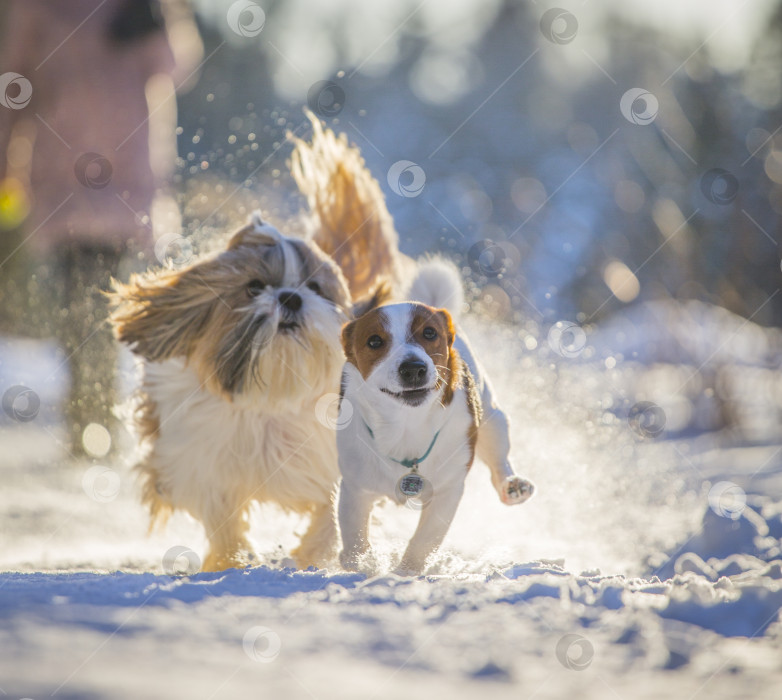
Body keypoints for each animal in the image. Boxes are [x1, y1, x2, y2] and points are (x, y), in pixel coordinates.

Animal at [110, 115, 402, 572]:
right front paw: (229, 561)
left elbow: (332, 513)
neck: (271, 400)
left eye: (315, 287)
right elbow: (222, 517)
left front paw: (310, 556)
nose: (290, 296)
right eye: (254, 287)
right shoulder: (199, 465)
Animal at [336, 262, 532, 576]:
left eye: (429, 333)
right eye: (374, 341)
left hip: (493, 420)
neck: (407, 424)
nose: (413, 368)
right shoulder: (356, 487)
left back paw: (512, 485)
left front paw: (406, 571)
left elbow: (424, 540)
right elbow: (354, 535)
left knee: (498, 458)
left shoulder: (447, 491)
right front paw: (364, 564)